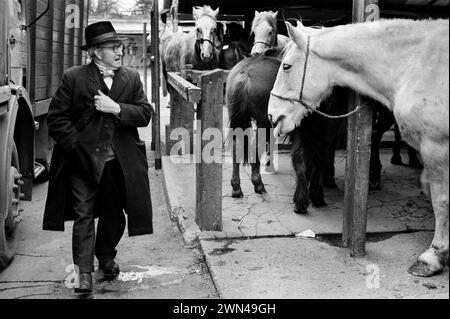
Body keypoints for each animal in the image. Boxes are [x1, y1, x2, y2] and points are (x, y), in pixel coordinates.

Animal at [268, 19, 448, 278]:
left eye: (286, 66)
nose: (272, 115)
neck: (414, 64)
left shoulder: (436, 149)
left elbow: (440, 201)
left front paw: (433, 257)